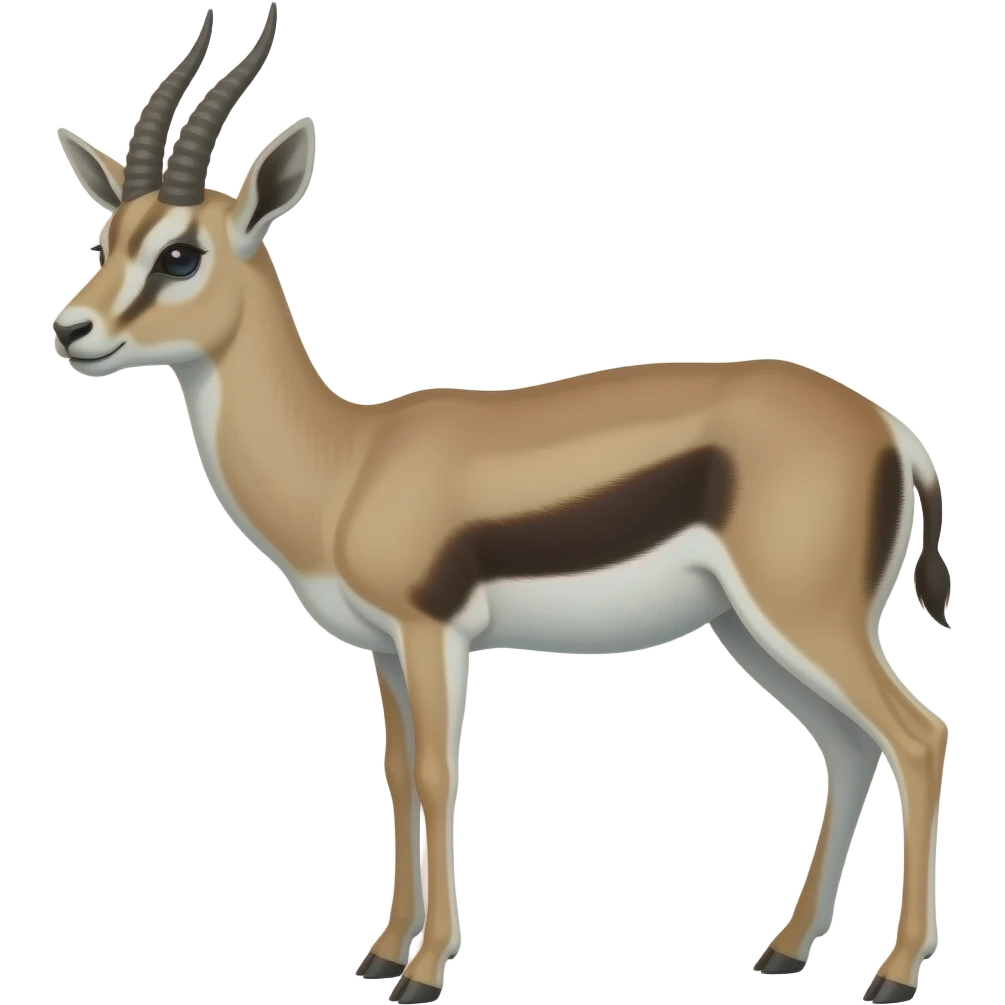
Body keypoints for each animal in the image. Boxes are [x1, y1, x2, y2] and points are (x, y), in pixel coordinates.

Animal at [51, 6, 951, 1004]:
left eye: (180, 254)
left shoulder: (433, 631)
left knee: (918, 736)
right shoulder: (384, 649)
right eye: (107, 240)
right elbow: (394, 774)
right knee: (848, 747)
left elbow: (438, 774)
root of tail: (891, 428)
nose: (73, 330)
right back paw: (786, 949)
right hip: (752, 628)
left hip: (808, 618)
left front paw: (424, 970)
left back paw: (894, 972)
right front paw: (381, 951)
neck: (347, 460)